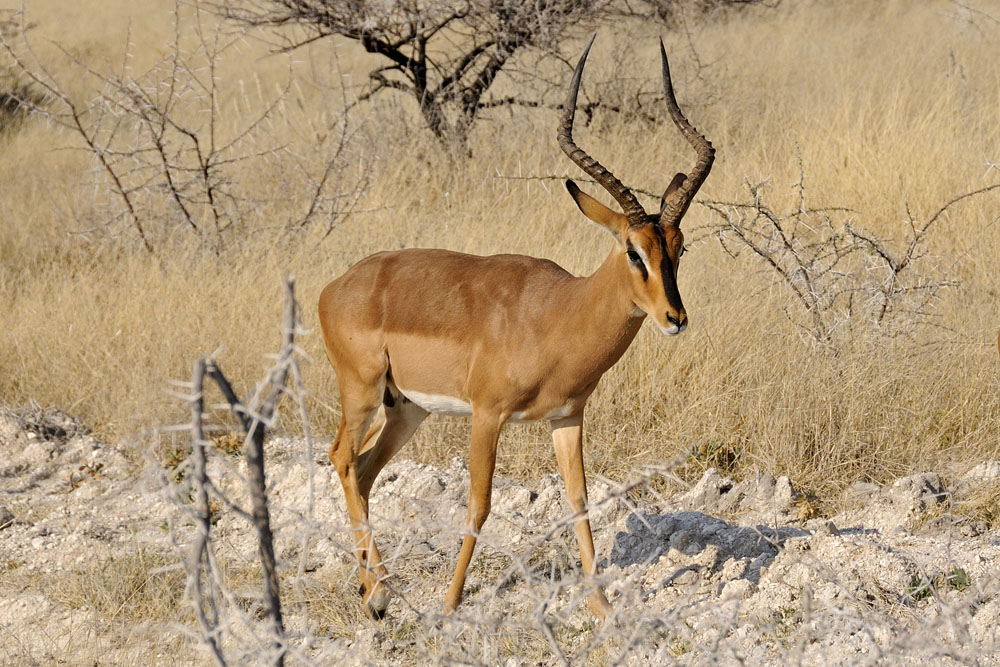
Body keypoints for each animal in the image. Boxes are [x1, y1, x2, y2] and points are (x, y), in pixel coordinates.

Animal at [318, 35, 715, 620]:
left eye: (679, 248)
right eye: (633, 250)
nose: (675, 318)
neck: (556, 314)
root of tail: (337, 284)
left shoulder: (566, 417)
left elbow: (578, 501)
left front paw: (602, 609)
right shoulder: (488, 415)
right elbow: (479, 503)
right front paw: (450, 605)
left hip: (405, 408)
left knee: (364, 470)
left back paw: (373, 590)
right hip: (362, 391)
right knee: (343, 458)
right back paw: (379, 595)